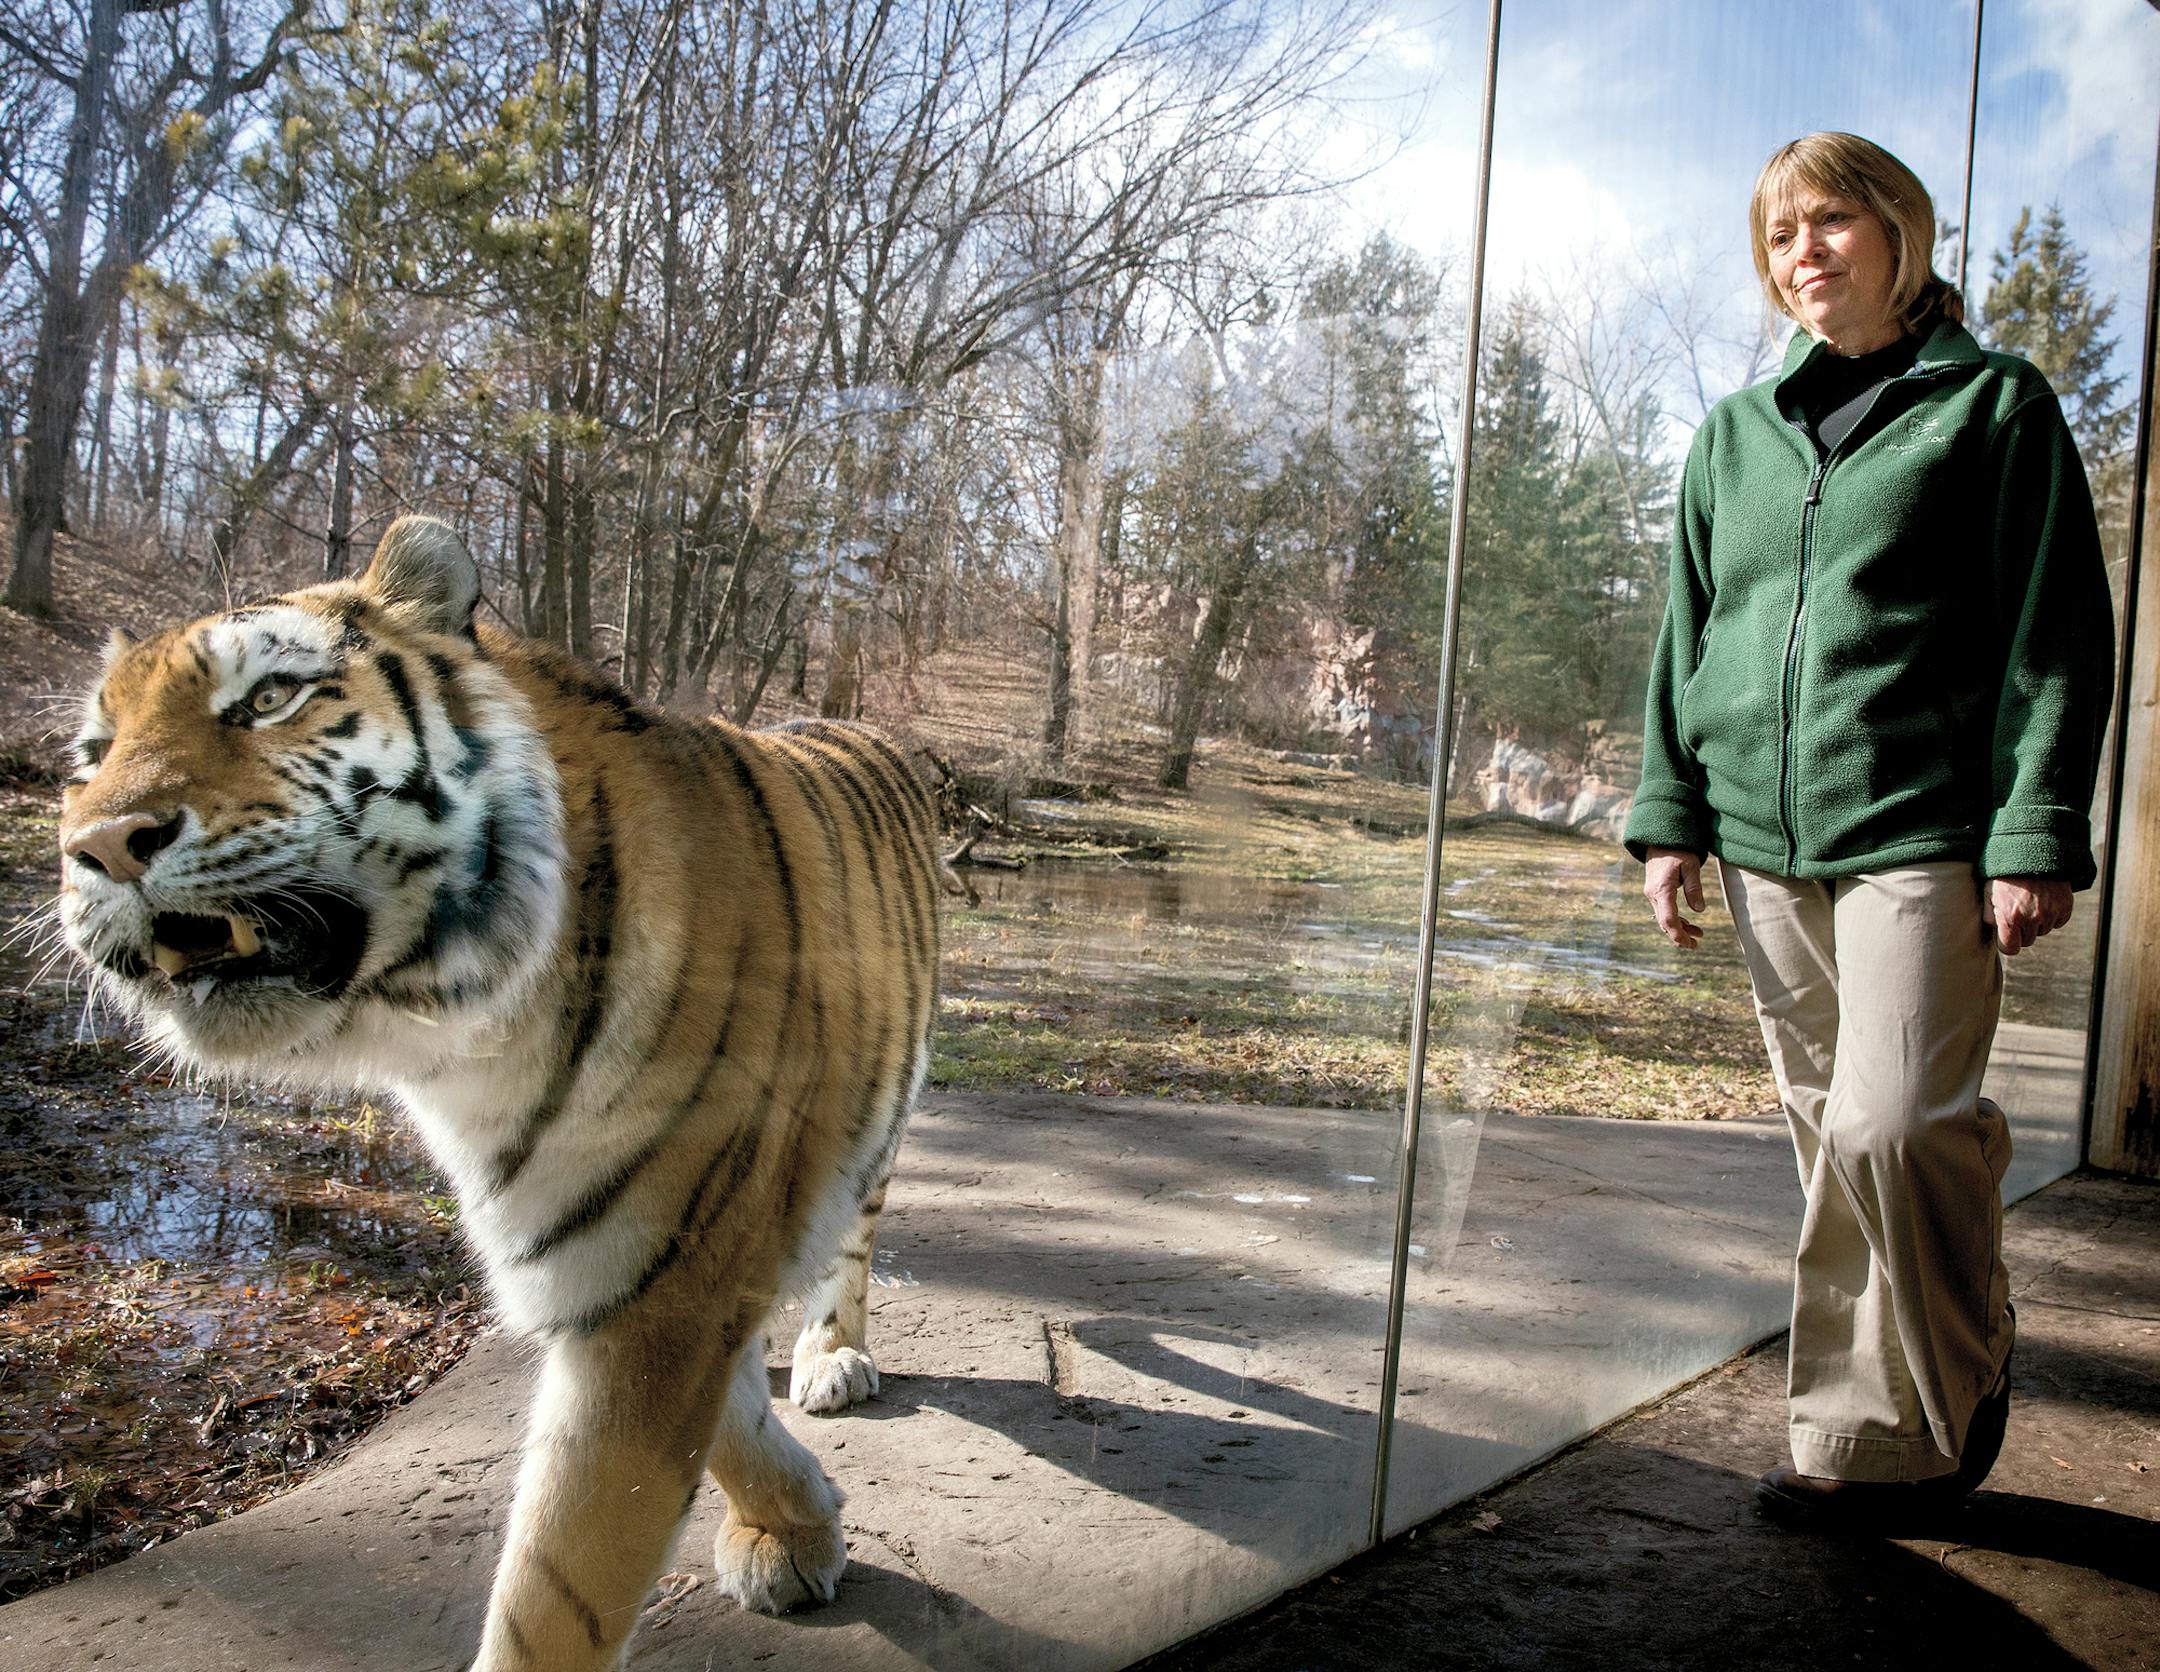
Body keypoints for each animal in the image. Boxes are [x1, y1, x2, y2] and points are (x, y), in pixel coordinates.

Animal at [54, 514, 947, 1671]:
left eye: (269, 698)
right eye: (89, 755)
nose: (95, 845)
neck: (458, 1027)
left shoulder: (653, 1287)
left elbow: (555, 1592)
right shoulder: (653, 1268)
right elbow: (728, 1415)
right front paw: (792, 1527)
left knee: (854, 1234)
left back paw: (835, 1355)